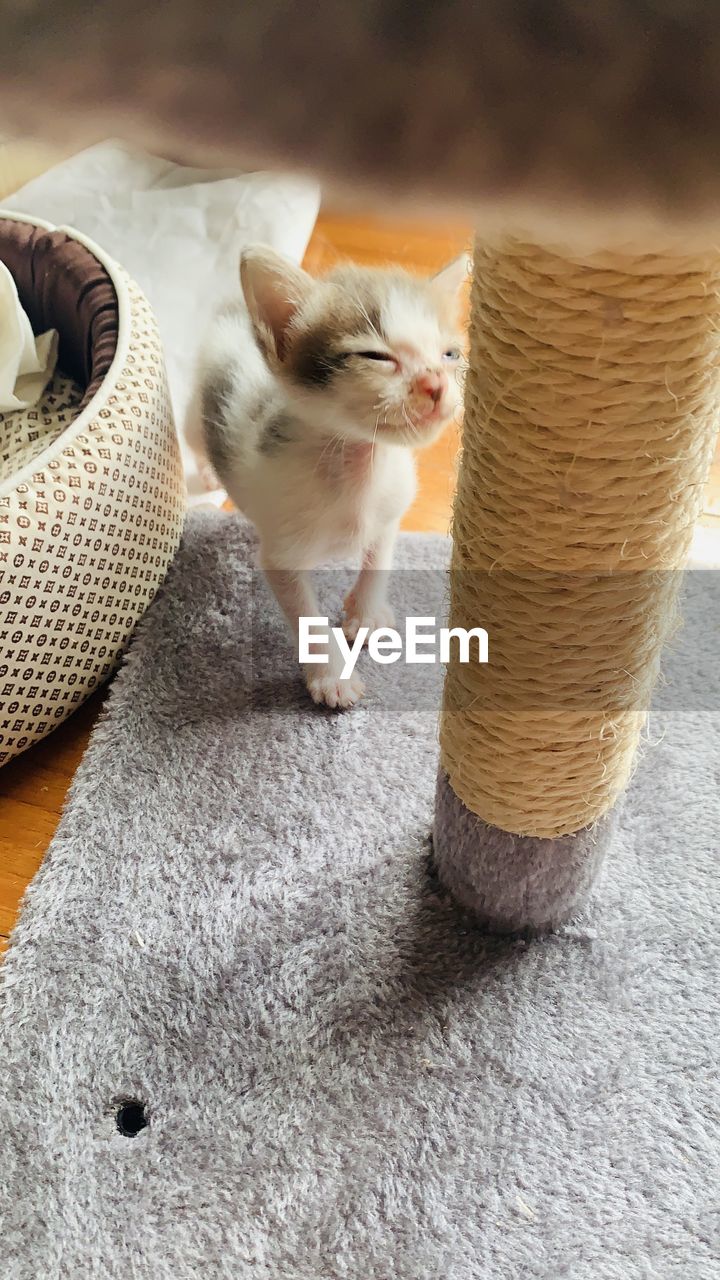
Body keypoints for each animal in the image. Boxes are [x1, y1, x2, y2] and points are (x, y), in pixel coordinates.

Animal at [184, 241, 466, 711]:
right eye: (376, 356)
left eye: (450, 354)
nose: (436, 384)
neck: (358, 465)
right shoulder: (281, 555)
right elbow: (306, 617)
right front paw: (331, 676)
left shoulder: (389, 512)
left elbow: (378, 559)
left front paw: (365, 614)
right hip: (195, 410)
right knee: (192, 435)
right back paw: (206, 471)